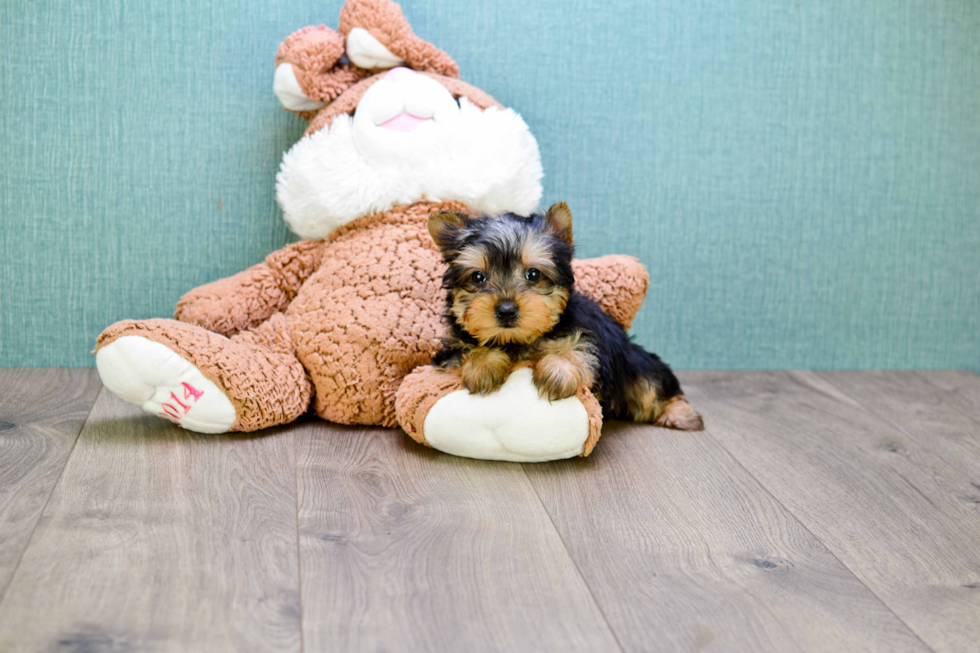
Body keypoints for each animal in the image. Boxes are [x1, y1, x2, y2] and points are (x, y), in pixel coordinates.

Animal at [428, 201, 704, 430]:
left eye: (533, 274)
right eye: (478, 277)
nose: (506, 310)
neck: (518, 341)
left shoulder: (590, 338)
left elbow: (580, 350)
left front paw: (557, 371)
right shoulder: (451, 349)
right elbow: (468, 348)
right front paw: (483, 365)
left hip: (636, 367)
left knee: (652, 389)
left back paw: (681, 414)